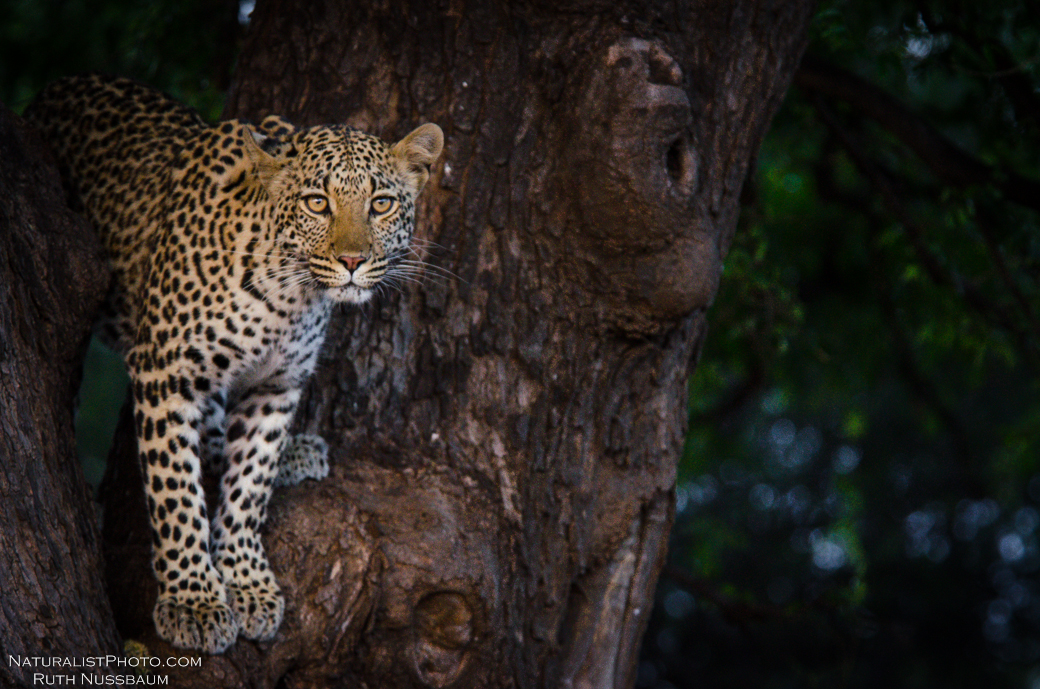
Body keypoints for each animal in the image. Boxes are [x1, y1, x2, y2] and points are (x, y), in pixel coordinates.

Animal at [25, 74, 443, 654]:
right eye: (317, 203)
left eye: (380, 204)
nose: (353, 262)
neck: (290, 297)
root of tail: (57, 87)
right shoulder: (165, 371)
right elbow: (176, 493)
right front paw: (194, 602)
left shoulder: (278, 386)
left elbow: (251, 483)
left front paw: (246, 583)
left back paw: (294, 454)